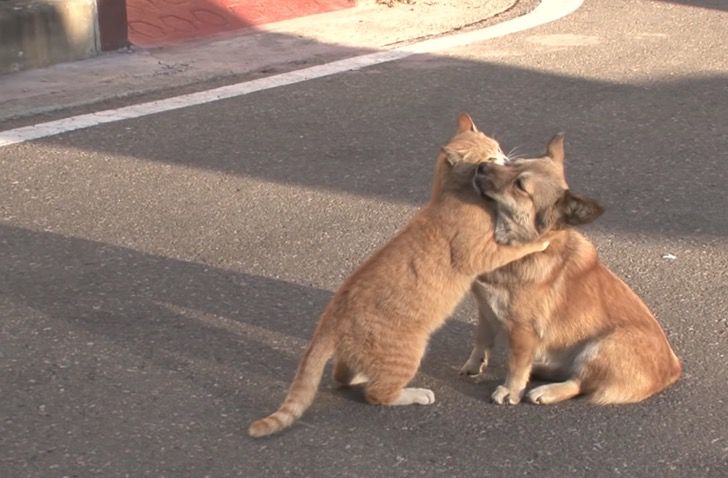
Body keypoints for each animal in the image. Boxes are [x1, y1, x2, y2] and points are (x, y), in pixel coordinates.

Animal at [247, 113, 548, 436]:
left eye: (499, 149)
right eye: (490, 159)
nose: (507, 159)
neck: (451, 194)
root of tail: (330, 318)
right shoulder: (482, 254)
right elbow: (517, 247)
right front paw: (542, 239)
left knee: (342, 376)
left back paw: (359, 376)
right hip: (408, 353)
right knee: (378, 395)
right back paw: (415, 393)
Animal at [460, 134, 684, 404]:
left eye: (520, 186)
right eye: (512, 163)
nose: (481, 166)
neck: (522, 249)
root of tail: (673, 369)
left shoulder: (523, 332)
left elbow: (516, 365)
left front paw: (510, 391)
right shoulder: (486, 311)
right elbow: (481, 341)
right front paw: (473, 365)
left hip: (601, 347)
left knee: (579, 383)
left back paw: (546, 391)